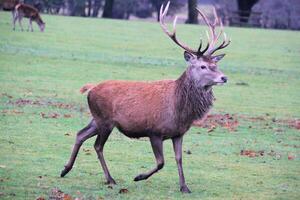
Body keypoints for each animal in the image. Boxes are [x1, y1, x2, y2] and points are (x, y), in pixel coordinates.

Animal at [59, 0, 231, 193]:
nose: (224, 77)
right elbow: (161, 162)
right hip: (105, 120)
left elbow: (179, 159)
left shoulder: (178, 133)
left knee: (80, 134)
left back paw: (65, 169)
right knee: (97, 145)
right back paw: (110, 179)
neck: (179, 110)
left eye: (215, 65)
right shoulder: (154, 131)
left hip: (96, 119)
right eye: (203, 66)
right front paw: (138, 177)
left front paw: (184, 187)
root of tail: (91, 88)